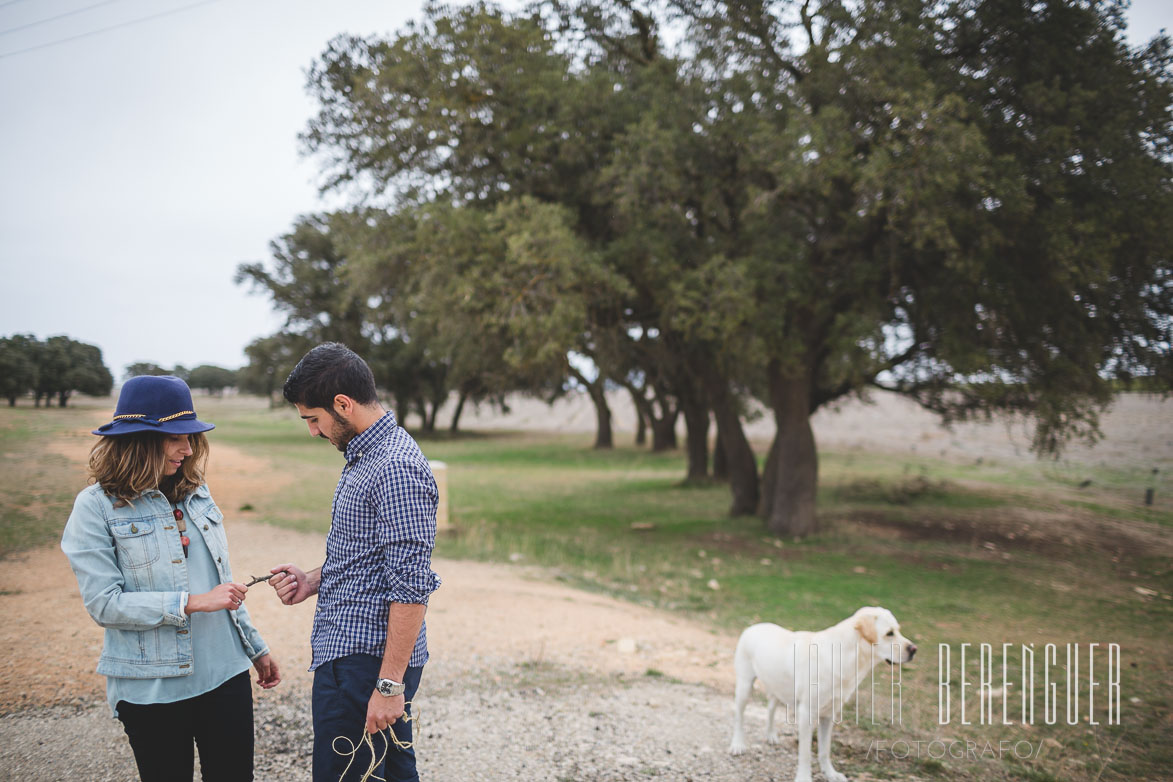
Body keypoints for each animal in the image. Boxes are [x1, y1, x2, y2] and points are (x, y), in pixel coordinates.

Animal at [722, 604, 914, 782]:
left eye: (898, 630)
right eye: (889, 633)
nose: (914, 649)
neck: (847, 656)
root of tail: (753, 626)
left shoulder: (828, 715)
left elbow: (824, 750)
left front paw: (830, 773)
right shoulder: (806, 713)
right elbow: (806, 753)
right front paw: (804, 778)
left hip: (777, 686)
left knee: (770, 708)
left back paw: (770, 735)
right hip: (745, 686)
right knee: (739, 716)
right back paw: (738, 744)